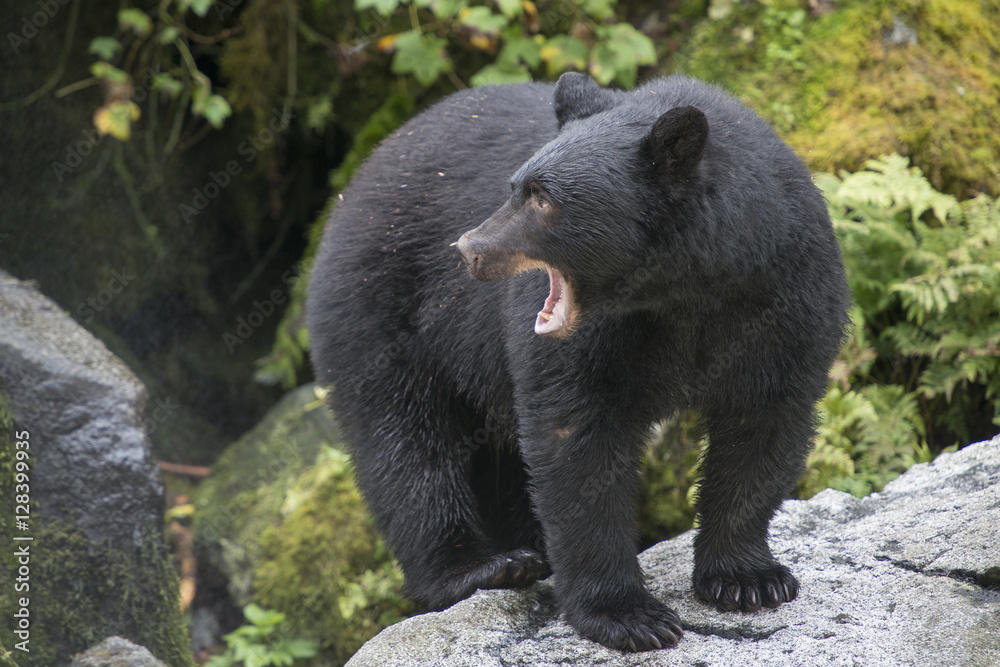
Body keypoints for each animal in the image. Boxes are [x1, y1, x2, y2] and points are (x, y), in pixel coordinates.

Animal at [307, 72, 850, 652]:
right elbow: (577, 441)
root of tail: (356, 181)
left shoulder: (788, 296)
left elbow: (763, 424)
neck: (686, 290)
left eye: (542, 198)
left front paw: (748, 579)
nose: (468, 249)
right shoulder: (588, 340)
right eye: (514, 187)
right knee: (405, 443)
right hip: (381, 311)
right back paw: (482, 566)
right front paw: (628, 615)